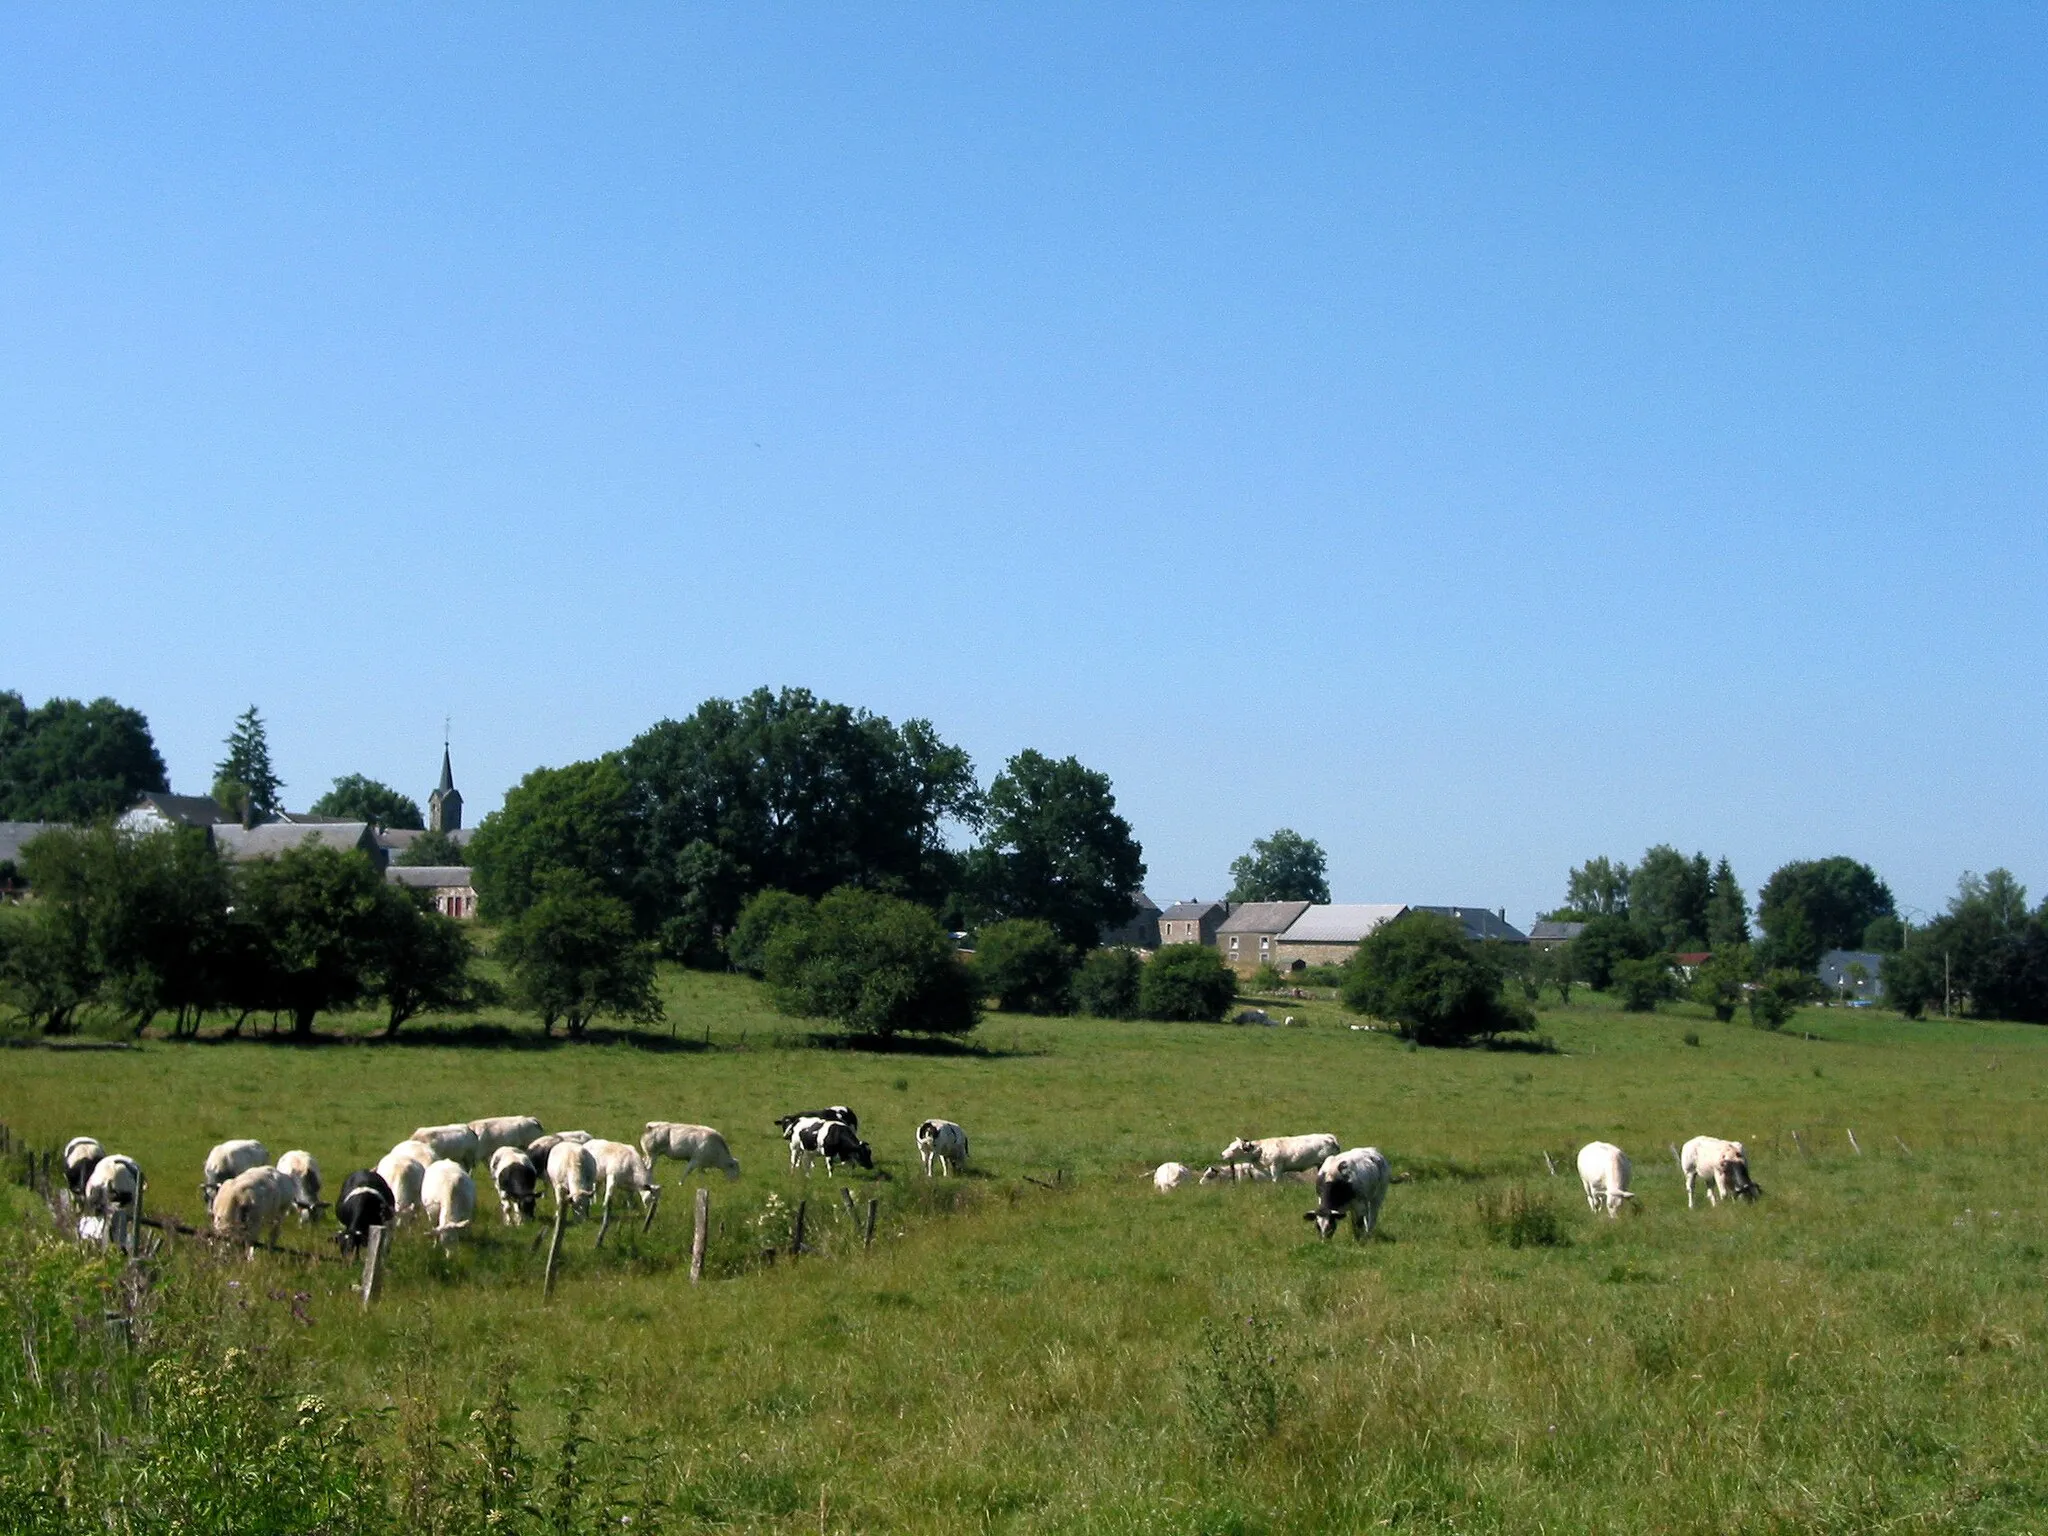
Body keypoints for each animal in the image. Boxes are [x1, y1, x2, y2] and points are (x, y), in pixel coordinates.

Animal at [1212, 1138, 1343, 1187]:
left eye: (1234, 1148)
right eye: (1230, 1145)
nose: (1222, 1154)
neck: (1260, 1150)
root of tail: (1330, 1138)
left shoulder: (1275, 1166)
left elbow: (1275, 1180)